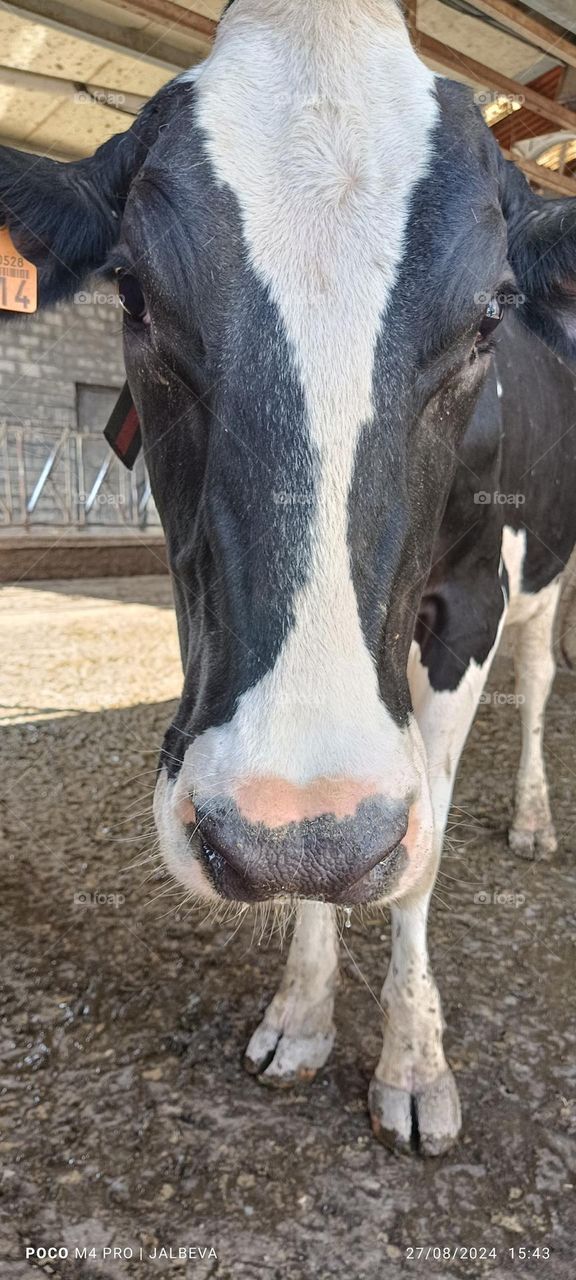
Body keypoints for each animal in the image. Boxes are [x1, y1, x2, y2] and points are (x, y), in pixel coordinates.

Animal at [1, 0, 575, 1157]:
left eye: (491, 315)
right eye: (134, 290)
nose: (270, 827)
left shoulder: (471, 603)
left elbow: (415, 846)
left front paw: (414, 1060)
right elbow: (335, 858)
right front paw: (304, 1009)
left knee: (538, 684)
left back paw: (535, 817)